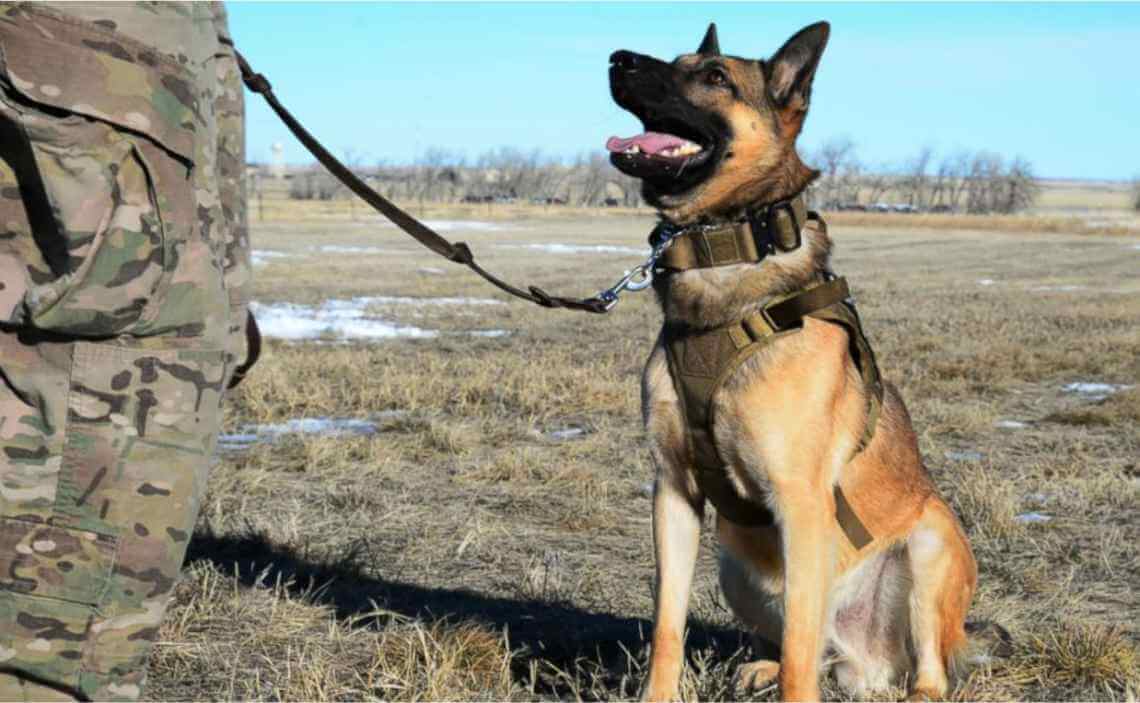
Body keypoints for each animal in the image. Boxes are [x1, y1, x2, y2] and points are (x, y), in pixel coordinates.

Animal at [606, 21, 980, 701]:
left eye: (715, 77)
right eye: (673, 59)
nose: (617, 59)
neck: (726, 251)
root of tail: (866, 663)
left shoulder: (801, 507)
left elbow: (804, 652)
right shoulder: (672, 492)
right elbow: (668, 627)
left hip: (930, 545)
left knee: (920, 669)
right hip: (735, 566)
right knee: (806, 646)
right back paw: (762, 666)